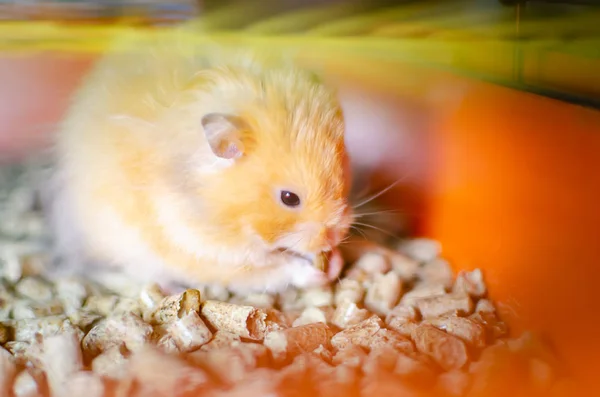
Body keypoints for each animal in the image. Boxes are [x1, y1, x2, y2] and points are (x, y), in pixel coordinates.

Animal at [44, 31, 354, 294]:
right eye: (289, 198)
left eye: (343, 174)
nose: (334, 237)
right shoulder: (207, 252)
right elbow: (274, 269)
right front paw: (316, 271)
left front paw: (335, 261)